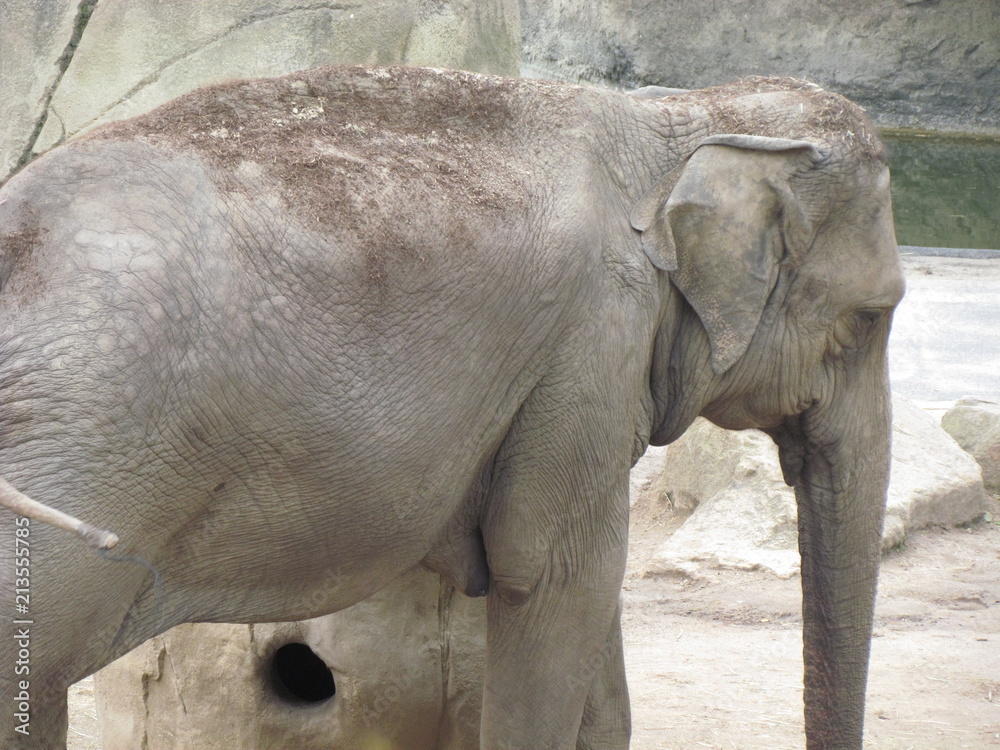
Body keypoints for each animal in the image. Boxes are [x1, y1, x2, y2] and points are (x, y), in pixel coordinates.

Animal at [0, 66, 903, 749]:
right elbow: (555, 578)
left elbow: (584, 605)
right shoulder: (590, 350)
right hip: (77, 459)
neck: (680, 120)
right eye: (870, 318)